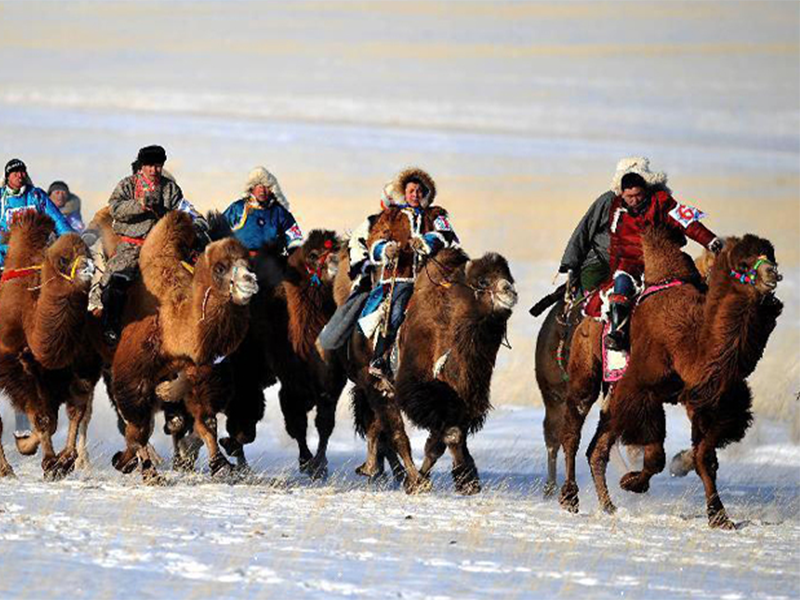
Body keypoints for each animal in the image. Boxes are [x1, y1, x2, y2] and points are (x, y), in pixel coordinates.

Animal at [0, 211, 101, 478]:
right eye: (63, 260)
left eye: (88, 252)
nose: (88, 269)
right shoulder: (19, 370)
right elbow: (44, 418)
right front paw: (47, 460)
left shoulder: (77, 369)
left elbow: (72, 414)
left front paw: (63, 461)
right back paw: (6, 469)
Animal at [108, 211, 256, 482]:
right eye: (220, 267)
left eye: (249, 265)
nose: (249, 281)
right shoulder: (132, 374)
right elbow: (139, 427)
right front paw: (147, 472)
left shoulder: (204, 373)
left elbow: (206, 421)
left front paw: (220, 465)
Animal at [220, 230, 346, 478]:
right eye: (314, 255)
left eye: (338, 248)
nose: (337, 263)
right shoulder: (291, 380)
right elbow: (296, 423)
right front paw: (307, 461)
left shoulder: (331, 382)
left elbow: (325, 423)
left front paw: (319, 464)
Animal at [560, 226, 780, 528]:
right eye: (743, 264)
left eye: (771, 255)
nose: (773, 273)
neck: (690, 343)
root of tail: (584, 310)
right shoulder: (644, 391)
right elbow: (655, 456)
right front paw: (631, 482)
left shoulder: (705, 399)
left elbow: (705, 457)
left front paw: (719, 516)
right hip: (586, 373)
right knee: (573, 428)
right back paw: (570, 498)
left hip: (612, 392)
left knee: (597, 448)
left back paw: (608, 506)